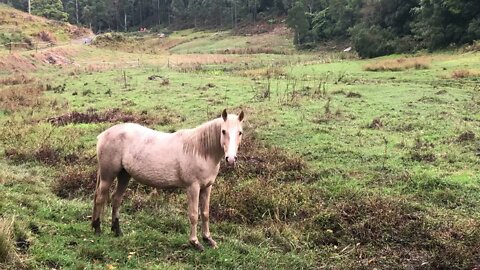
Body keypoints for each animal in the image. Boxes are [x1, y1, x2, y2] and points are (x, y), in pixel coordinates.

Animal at [92, 108, 246, 251]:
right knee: (100, 198)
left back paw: (117, 231)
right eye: (223, 131)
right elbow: (194, 215)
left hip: (124, 175)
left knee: (116, 199)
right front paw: (195, 242)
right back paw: (97, 229)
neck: (200, 150)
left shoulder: (207, 187)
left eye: (240, 132)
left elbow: (205, 213)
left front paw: (208, 239)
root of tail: (103, 135)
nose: (231, 159)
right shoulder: (193, 188)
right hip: (107, 176)